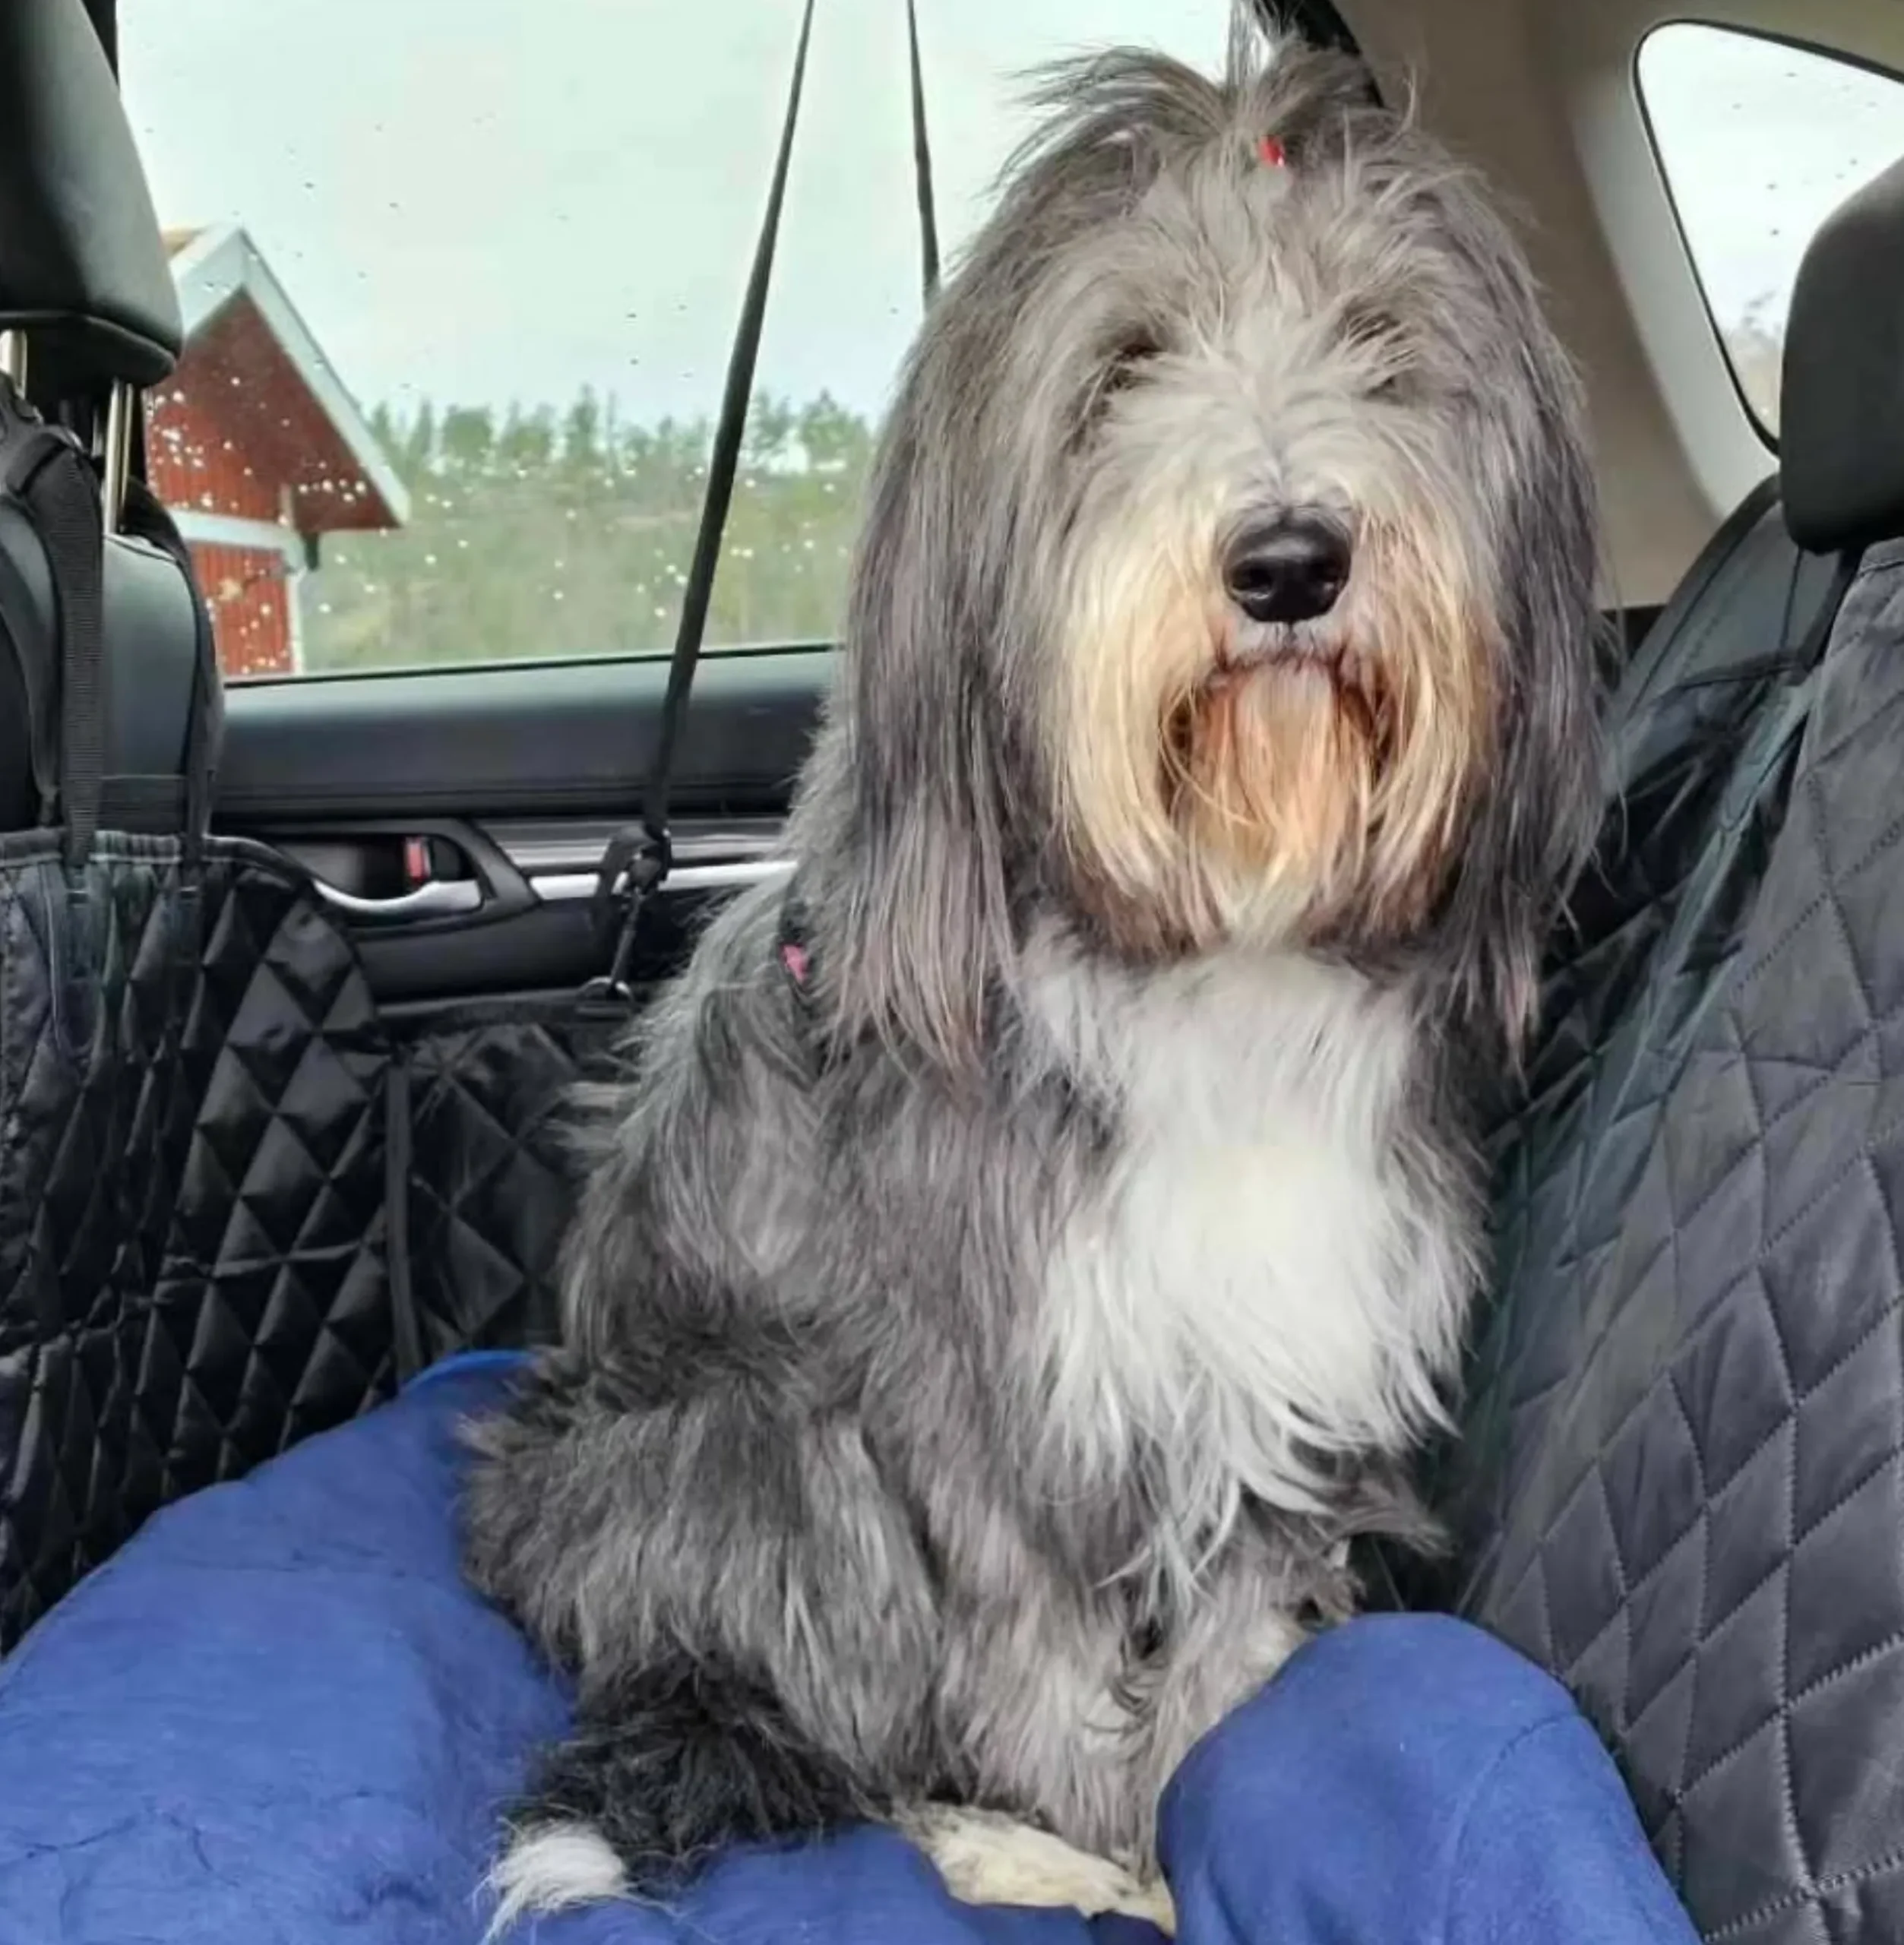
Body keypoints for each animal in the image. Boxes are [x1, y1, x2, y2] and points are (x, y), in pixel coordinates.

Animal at [468, 23, 1602, 1937]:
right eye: (1127, 362)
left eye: (1383, 346)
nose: (1288, 560)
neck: (1214, 940)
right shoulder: (992, 1407)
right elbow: (1038, 1680)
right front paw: (1088, 1838)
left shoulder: (1283, 1370)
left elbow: (1225, 1680)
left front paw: (1178, 1835)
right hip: (762, 1443)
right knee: (830, 1722)